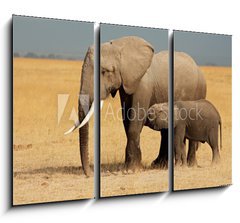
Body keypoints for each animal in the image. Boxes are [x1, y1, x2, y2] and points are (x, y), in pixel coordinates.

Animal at [64, 36, 206, 176]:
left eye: (105, 71)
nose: (91, 173)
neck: (119, 46)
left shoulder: (143, 85)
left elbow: (136, 120)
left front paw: (131, 170)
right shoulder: (125, 85)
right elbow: (127, 121)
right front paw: (136, 167)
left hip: (199, 91)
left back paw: (190, 165)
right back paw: (160, 165)